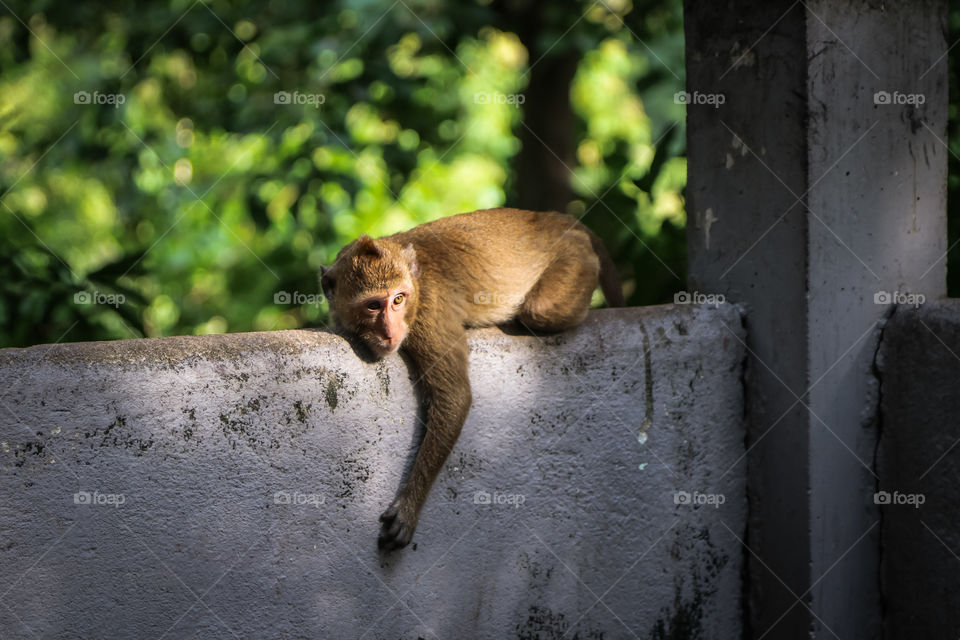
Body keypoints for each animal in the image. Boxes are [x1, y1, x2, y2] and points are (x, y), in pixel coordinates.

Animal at [320, 207, 624, 551]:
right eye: (373, 305)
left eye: (398, 300)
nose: (390, 331)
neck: (416, 285)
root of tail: (556, 219)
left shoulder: (426, 315)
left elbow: (454, 395)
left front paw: (409, 506)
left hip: (575, 260)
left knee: (539, 311)